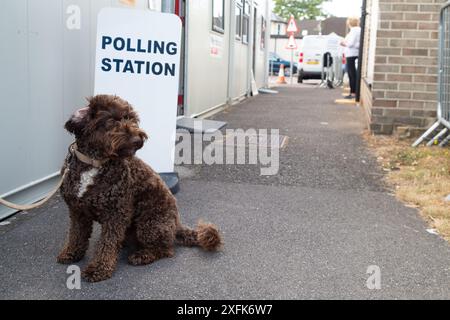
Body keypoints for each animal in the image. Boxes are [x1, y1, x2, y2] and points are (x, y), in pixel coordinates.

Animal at [58, 95, 223, 282]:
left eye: (132, 119)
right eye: (111, 120)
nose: (138, 139)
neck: (95, 162)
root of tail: (177, 225)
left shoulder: (116, 214)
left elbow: (107, 243)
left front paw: (99, 269)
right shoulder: (77, 211)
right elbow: (76, 235)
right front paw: (71, 254)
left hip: (149, 224)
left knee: (166, 249)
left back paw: (141, 255)